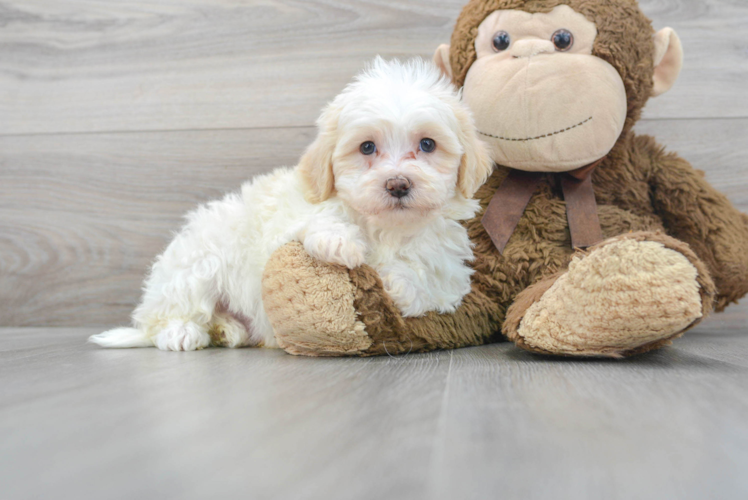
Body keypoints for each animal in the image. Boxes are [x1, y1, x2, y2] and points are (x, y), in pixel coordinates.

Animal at [90, 57, 494, 352]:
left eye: (427, 144)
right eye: (367, 147)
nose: (397, 184)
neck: (387, 229)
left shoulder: (452, 275)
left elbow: (432, 282)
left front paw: (401, 284)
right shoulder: (285, 218)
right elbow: (316, 218)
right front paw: (339, 240)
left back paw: (228, 330)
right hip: (196, 263)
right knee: (166, 314)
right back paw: (182, 332)